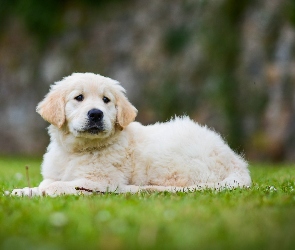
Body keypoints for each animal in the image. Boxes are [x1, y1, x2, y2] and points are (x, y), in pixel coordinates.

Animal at [11, 73, 252, 196]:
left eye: (106, 100)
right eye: (78, 98)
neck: (78, 150)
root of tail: (236, 162)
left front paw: (31, 192)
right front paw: (22, 191)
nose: (96, 113)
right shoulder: (56, 172)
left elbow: (54, 187)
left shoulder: (100, 180)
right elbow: (47, 183)